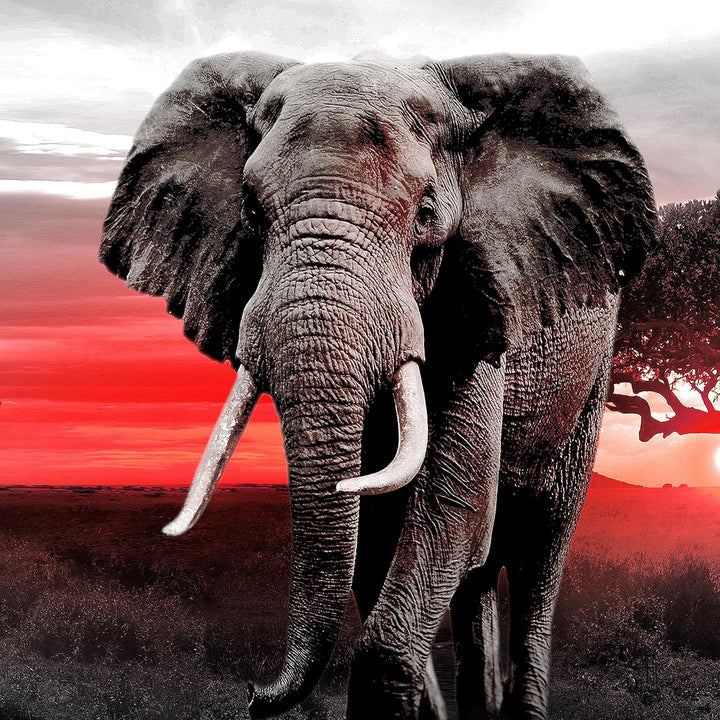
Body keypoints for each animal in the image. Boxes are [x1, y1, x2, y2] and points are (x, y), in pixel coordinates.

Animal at [99, 51, 656, 719]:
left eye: (425, 215)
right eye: (252, 213)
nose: (254, 693)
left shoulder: (475, 306)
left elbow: (457, 497)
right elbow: (384, 528)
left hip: (594, 374)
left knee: (538, 547)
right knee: (474, 577)